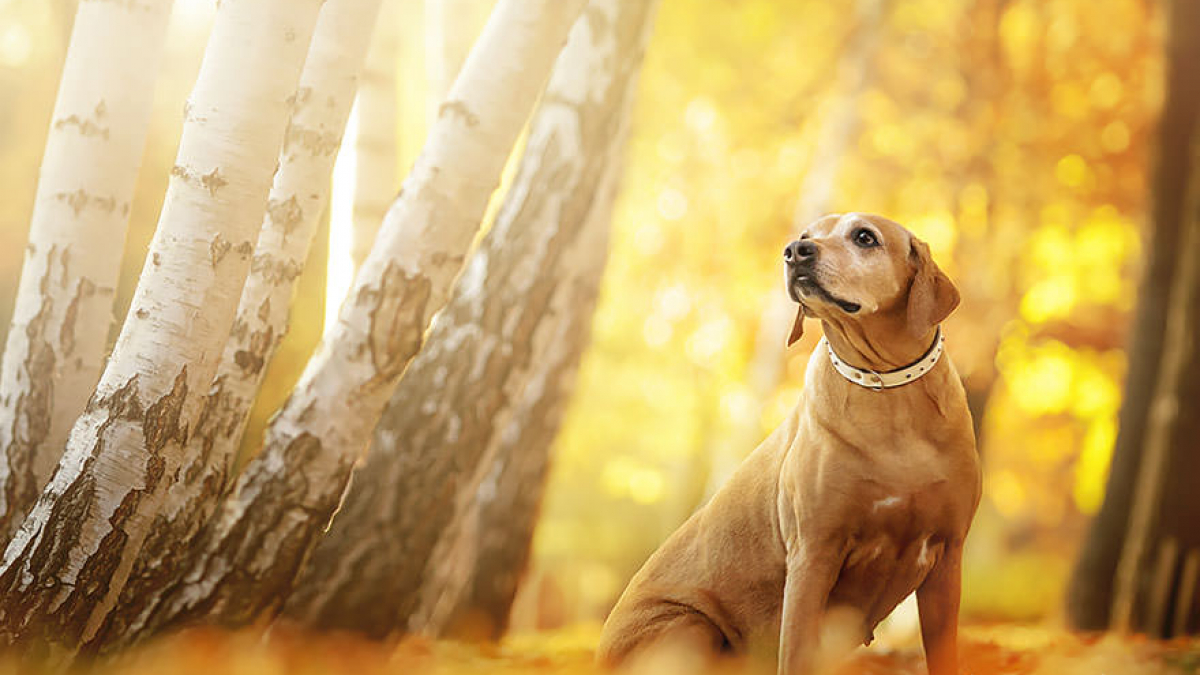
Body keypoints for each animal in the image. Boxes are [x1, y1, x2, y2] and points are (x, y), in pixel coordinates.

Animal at [600, 212, 984, 667]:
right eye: (807, 235)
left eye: (865, 237)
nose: (795, 251)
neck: (887, 388)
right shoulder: (812, 553)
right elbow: (796, 650)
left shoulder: (948, 555)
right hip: (688, 626)